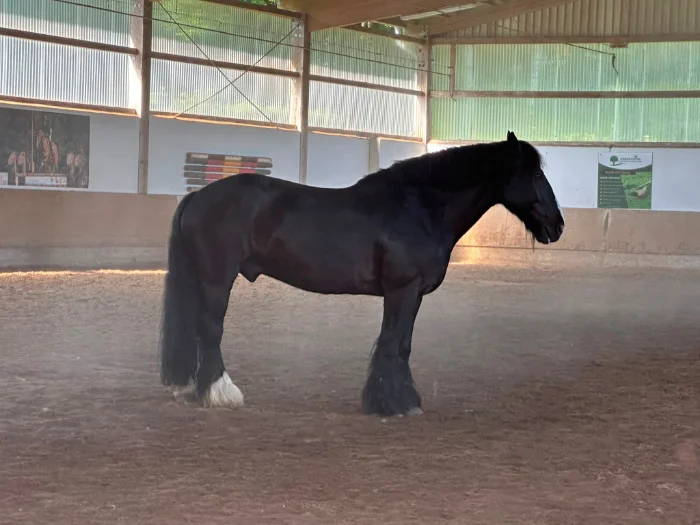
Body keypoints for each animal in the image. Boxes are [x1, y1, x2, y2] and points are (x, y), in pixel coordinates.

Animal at [159, 132, 565, 416]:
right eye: (534, 174)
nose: (557, 226)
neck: (417, 208)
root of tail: (197, 197)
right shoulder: (403, 290)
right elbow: (393, 343)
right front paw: (394, 402)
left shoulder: (410, 294)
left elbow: (401, 344)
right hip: (217, 280)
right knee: (211, 330)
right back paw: (222, 393)